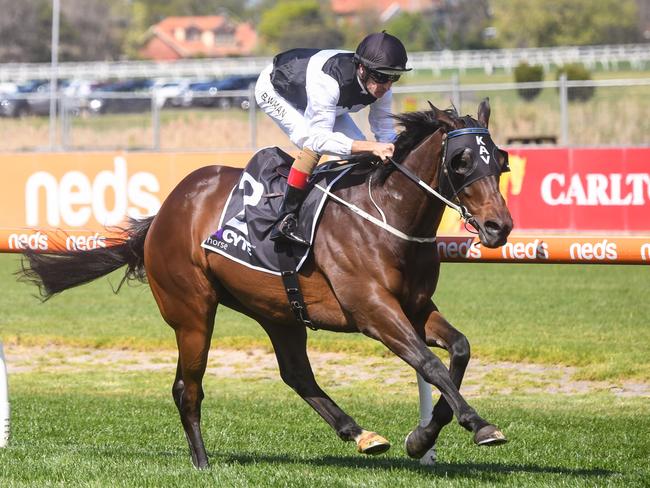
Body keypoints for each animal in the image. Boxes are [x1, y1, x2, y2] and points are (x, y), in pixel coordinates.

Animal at [20, 99, 512, 468]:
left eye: (502, 162)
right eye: (462, 161)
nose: (499, 227)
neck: (386, 214)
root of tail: (164, 213)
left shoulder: (414, 305)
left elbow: (459, 349)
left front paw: (423, 436)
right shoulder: (372, 309)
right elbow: (429, 364)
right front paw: (476, 424)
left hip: (278, 311)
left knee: (296, 374)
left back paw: (358, 432)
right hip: (192, 312)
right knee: (187, 387)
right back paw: (202, 462)